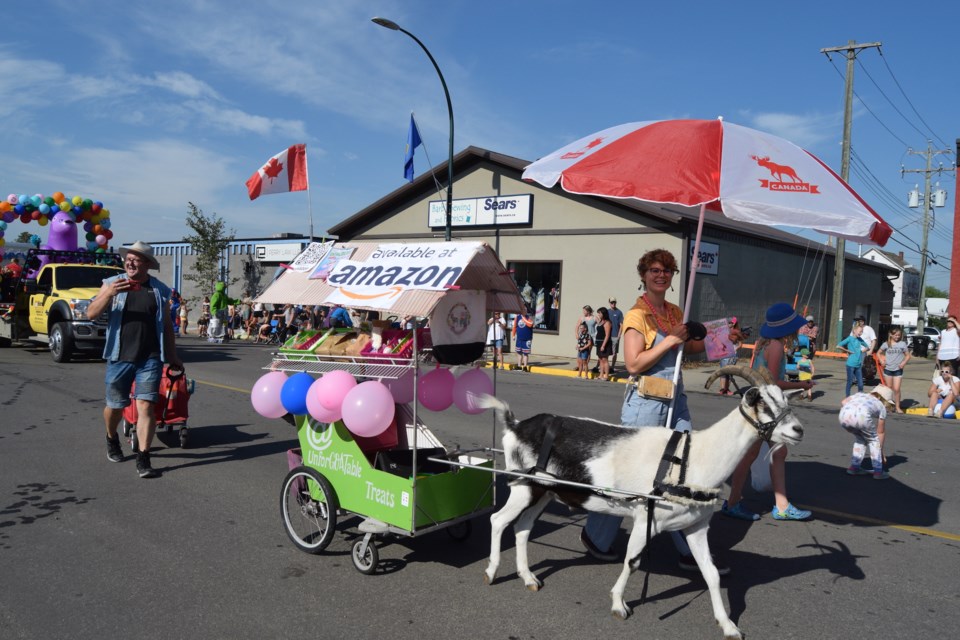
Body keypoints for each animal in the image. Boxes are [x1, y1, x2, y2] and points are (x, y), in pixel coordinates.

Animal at [478, 364, 804, 640]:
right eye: (761, 402)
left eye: (785, 401)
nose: (797, 430)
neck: (691, 458)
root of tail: (516, 425)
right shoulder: (646, 518)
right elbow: (632, 561)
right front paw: (619, 605)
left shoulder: (696, 527)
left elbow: (711, 574)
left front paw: (728, 625)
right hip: (523, 486)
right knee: (498, 520)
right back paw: (492, 572)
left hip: (543, 491)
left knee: (522, 527)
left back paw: (528, 577)